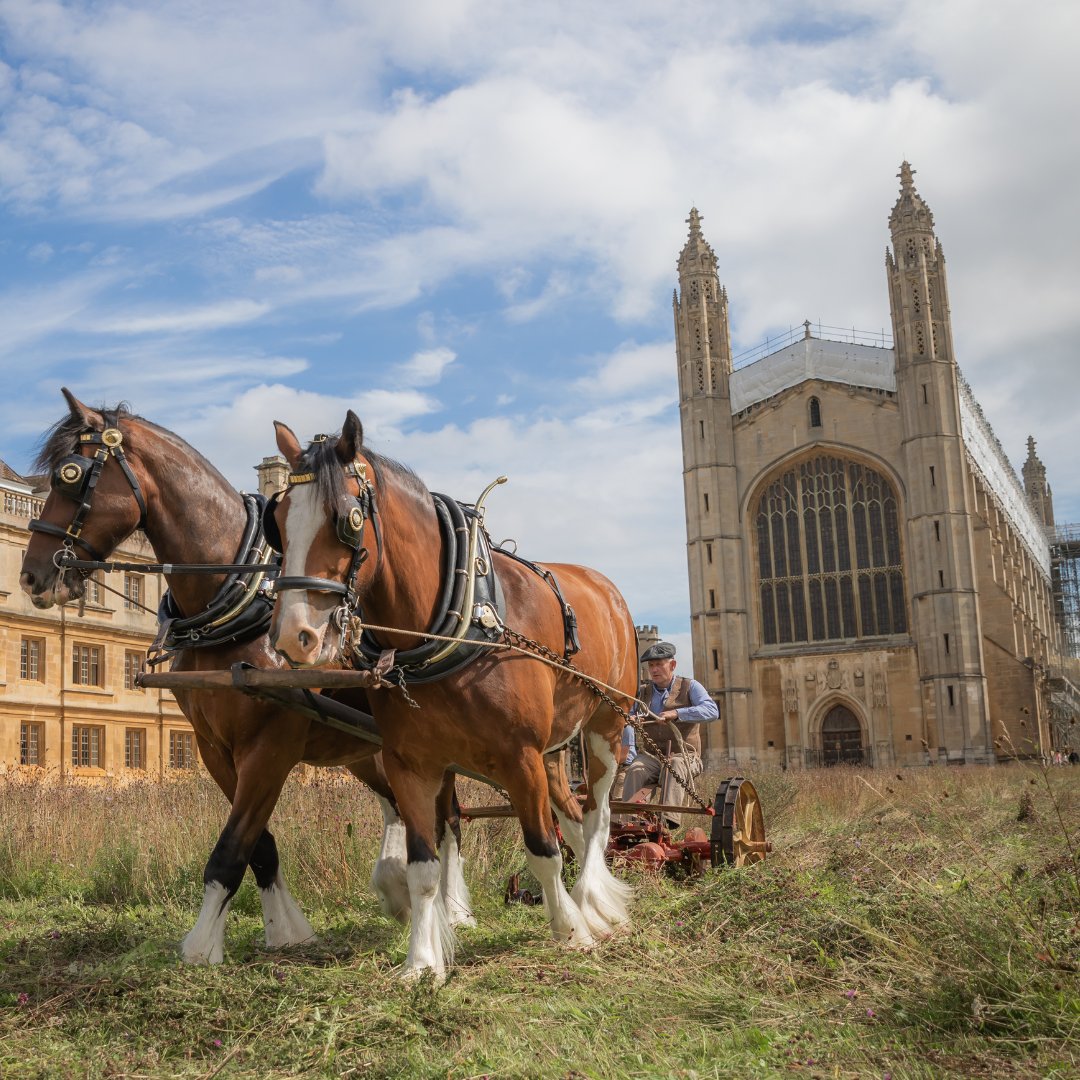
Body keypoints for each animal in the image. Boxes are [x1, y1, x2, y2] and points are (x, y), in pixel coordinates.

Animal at [18, 389, 477, 964]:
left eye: (71, 475)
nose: (31, 576)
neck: (236, 598)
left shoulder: (269, 747)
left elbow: (231, 847)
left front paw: (202, 946)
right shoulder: (215, 748)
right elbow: (259, 845)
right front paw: (286, 928)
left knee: (449, 816)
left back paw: (455, 910)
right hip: (362, 749)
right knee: (400, 805)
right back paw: (396, 888)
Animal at [265, 410, 638, 978]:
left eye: (348, 519)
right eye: (279, 519)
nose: (294, 636)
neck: (457, 623)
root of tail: (607, 588)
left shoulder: (519, 755)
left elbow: (541, 850)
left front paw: (571, 932)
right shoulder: (411, 763)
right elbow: (423, 867)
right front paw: (422, 962)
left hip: (606, 729)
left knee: (597, 818)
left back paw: (594, 900)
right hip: (554, 752)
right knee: (574, 820)